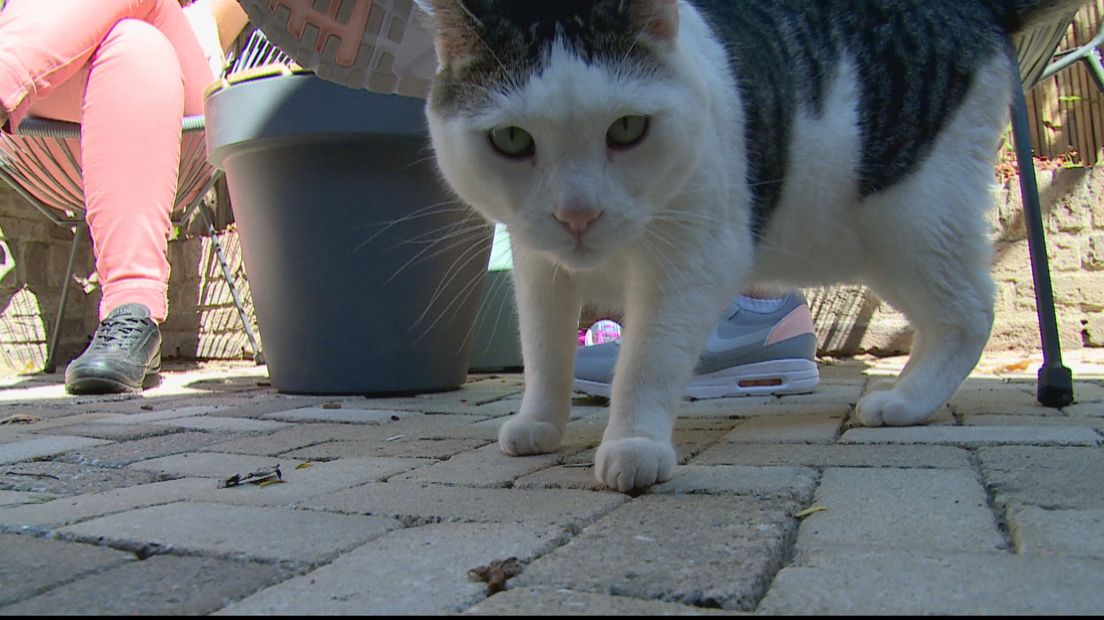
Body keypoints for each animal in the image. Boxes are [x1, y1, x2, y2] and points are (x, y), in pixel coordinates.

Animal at [412, 1, 1086, 492]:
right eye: (510, 140)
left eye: (627, 128)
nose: (577, 214)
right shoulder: (538, 268)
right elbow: (545, 351)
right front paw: (539, 422)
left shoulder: (694, 262)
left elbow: (647, 360)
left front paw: (634, 444)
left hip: (913, 219)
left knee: (971, 309)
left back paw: (907, 401)